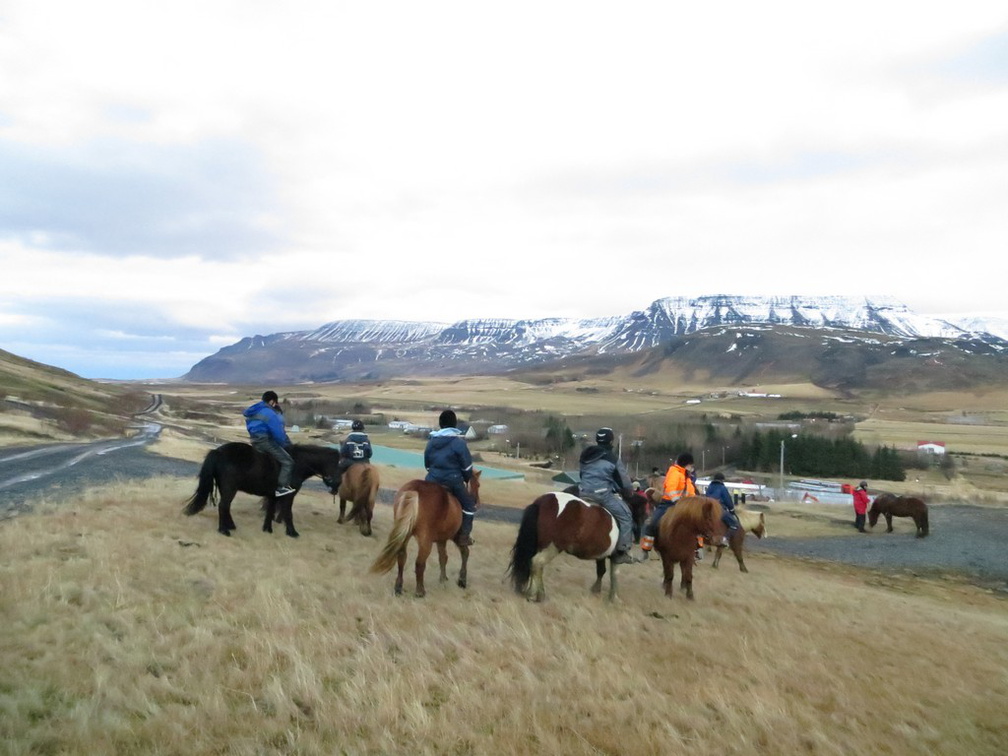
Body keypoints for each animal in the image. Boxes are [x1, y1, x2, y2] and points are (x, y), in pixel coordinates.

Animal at [179, 443, 340, 540]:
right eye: (336, 463)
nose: (338, 484)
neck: (297, 464)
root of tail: (217, 451)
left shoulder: (273, 495)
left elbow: (270, 511)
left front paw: (267, 529)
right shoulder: (289, 495)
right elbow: (288, 513)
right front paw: (292, 532)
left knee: (226, 507)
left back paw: (230, 526)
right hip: (230, 488)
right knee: (223, 506)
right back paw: (224, 530)